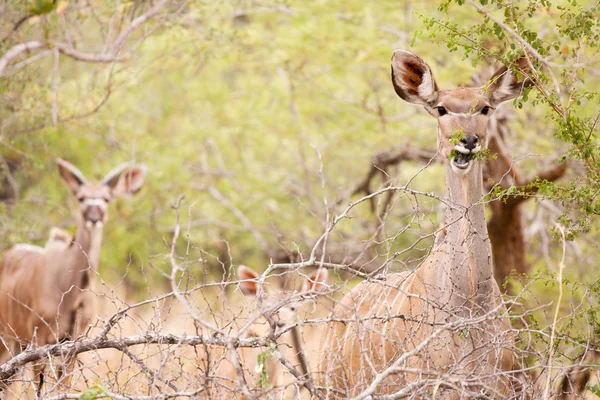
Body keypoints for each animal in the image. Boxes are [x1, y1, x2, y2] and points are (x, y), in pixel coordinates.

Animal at [0, 158, 145, 392]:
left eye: (106, 198)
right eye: (81, 198)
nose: (94, 219)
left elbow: (63, 386)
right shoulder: (40, 340)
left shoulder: (73, 343)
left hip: (17, 343)